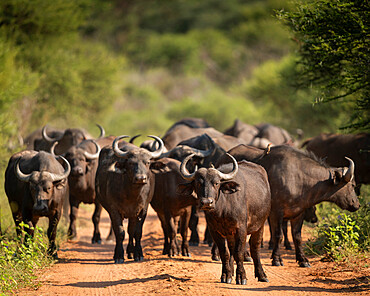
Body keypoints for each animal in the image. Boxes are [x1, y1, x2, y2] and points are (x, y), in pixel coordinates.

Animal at [178, 153, 270, 284]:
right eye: (198, 183)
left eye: (216, 183)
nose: (207, 202)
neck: (223, 210)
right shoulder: (215, 231)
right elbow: (224, 253)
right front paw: (226, 275)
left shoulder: (241, 229)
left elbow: (239, 252)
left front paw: (241, 277)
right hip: (230, 233)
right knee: (231, 249)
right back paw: (231, 272)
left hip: (260, 225)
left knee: (255, 248)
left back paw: (262, 275)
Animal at [221, 145, 360, 268]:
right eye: (352, 185)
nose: (357, 204)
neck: (298, 179)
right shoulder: (276, 213)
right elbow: (278, 235)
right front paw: (277, 259)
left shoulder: (299, 213)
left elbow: (297, 237)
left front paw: (303, 260)